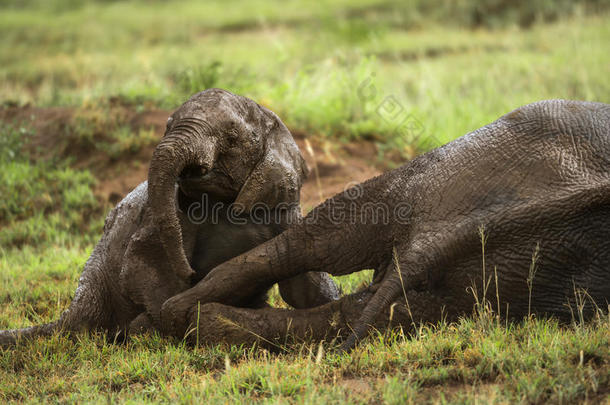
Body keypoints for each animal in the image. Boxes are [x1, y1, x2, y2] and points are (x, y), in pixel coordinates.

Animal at [0, 90, 338, 346]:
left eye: (231, 136)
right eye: (167, 125)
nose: (191, 273)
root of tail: (73, 311)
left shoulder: (284, 206)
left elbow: (303, 284)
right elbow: (145, 261)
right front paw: (180, 316)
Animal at [160, 98, 608, 350]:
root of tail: (429, 239)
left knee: (371, 305)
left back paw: (189, 317)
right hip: (446, 168)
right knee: (325, 239)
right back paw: (178, 310)